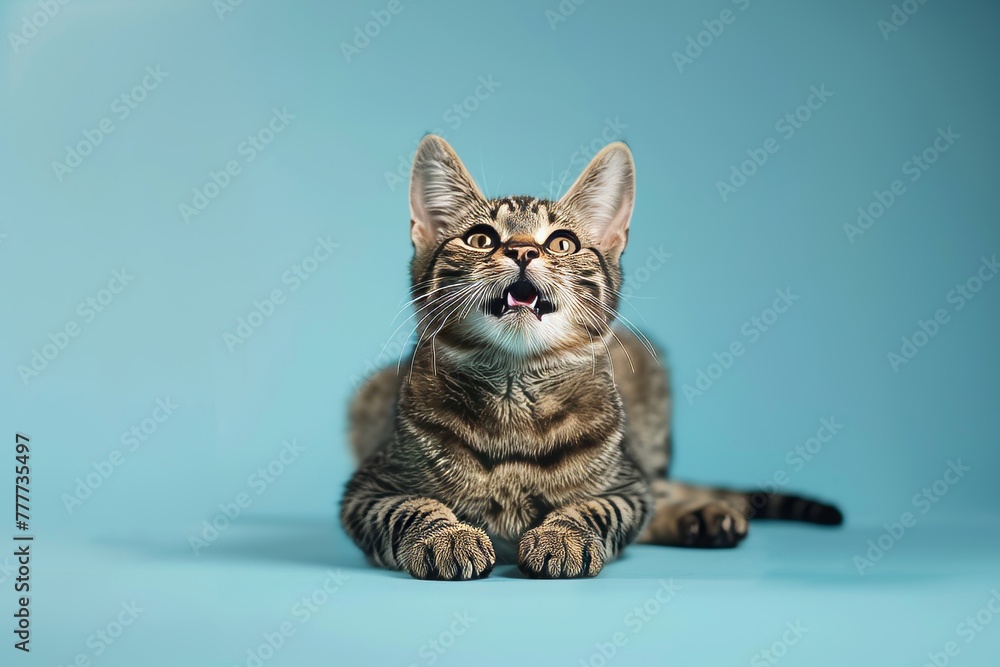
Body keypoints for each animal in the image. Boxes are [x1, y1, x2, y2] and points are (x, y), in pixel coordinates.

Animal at [340, 134, 840, 580]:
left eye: (562, 243)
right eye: (481, 239)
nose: (522, 250)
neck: (513, 393)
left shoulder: (626, 485)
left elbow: (598, 506)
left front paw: (562, 535)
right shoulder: (367, 490)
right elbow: (412, 507)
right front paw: (446, 535)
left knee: (658, 492)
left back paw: (703, 516)